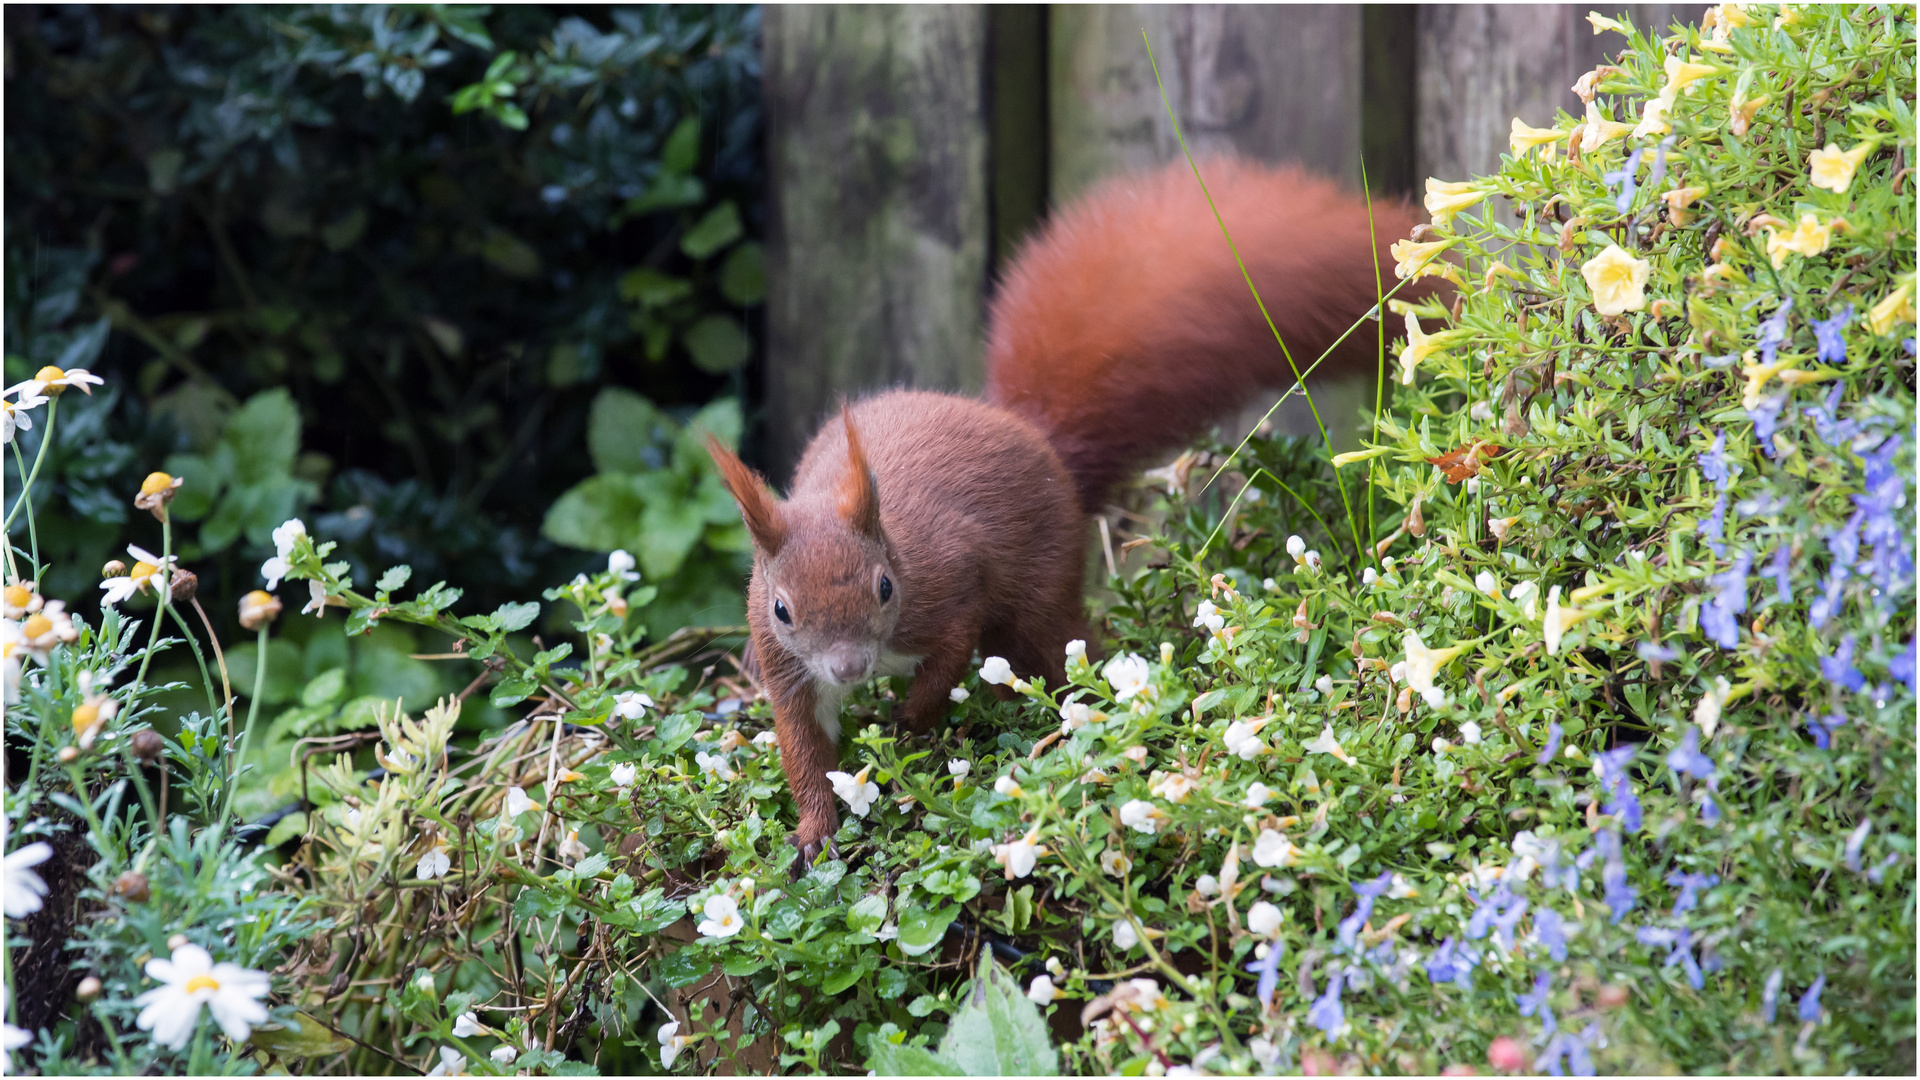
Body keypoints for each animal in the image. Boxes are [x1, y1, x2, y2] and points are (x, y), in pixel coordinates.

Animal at [706, 155, 1428, 860]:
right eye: (781, 609)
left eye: (885, 587)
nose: (850, 668)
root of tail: (1038, 438)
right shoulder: (785, 665)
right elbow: (803, 746)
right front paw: (814, 830)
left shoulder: (949, 588)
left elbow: (947, 655)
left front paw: (911, 719)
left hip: (1043, 589)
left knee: (1056, 650)